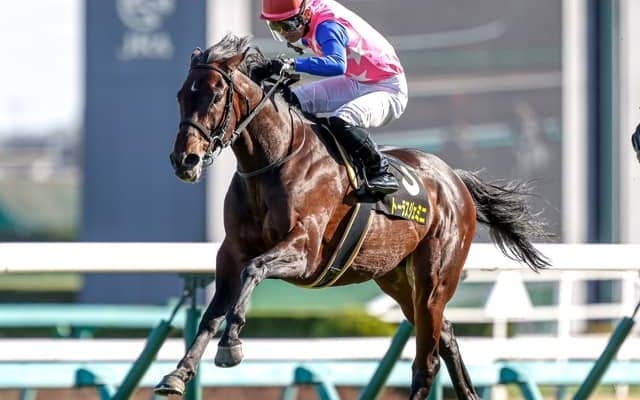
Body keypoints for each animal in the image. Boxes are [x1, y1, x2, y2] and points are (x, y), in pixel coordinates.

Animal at [156, 33, 550, 400]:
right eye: (180, 95)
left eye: (215, 96)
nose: (184, 160)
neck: (274, 160)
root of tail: (455, 180)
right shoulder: (231, 251)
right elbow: (212, 313)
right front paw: (178, 373)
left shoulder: (305, 252)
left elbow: (254, 270)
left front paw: (231, 344)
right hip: (396, 279)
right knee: (447, 336)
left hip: (435, 279)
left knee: (427, 362)